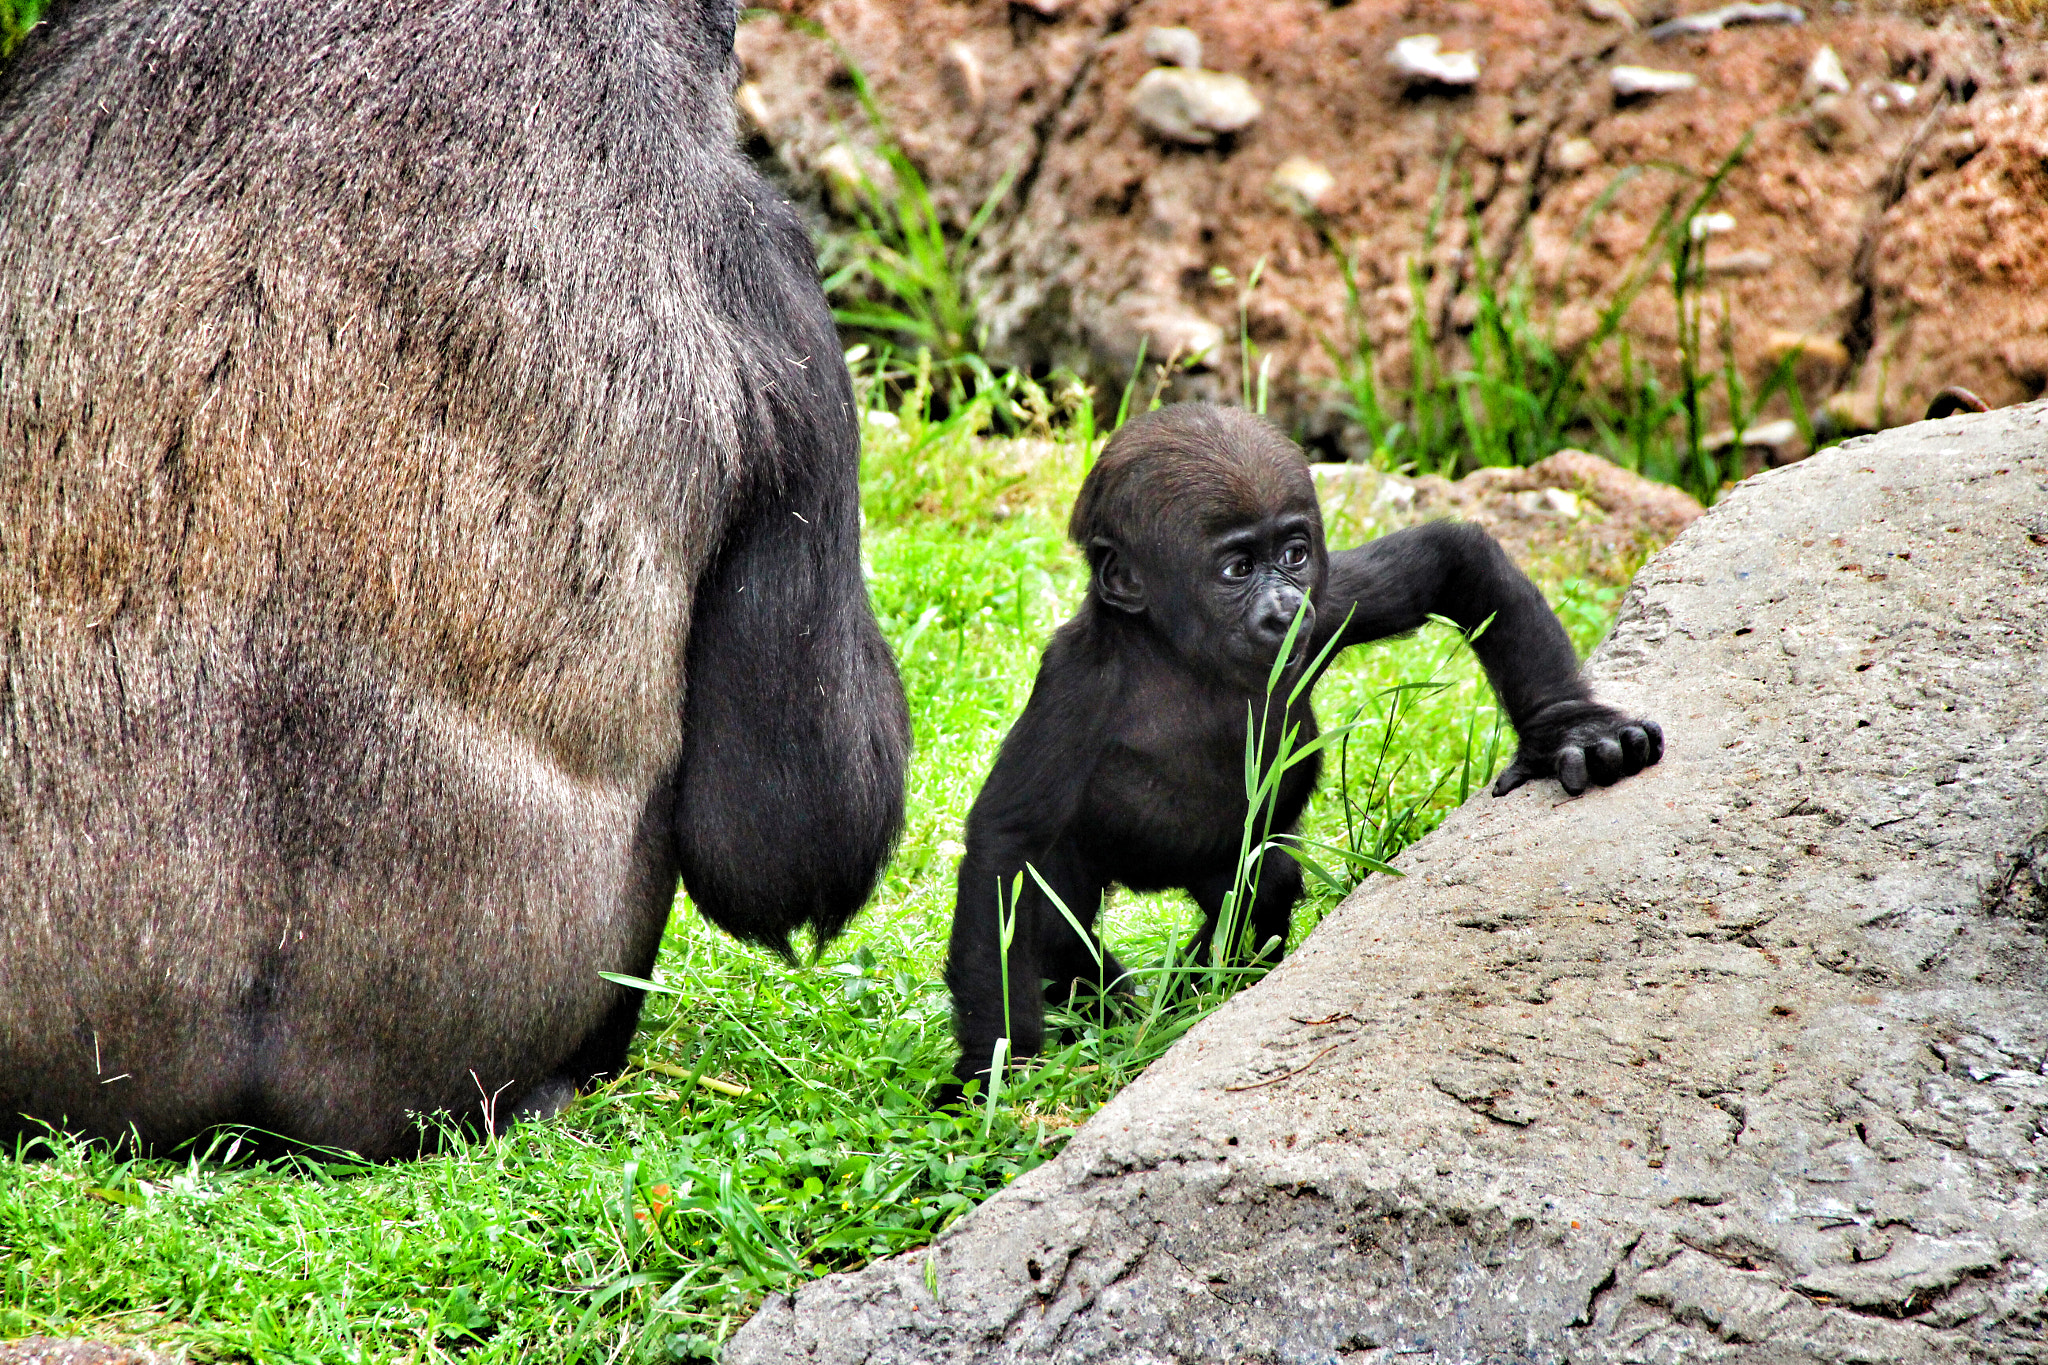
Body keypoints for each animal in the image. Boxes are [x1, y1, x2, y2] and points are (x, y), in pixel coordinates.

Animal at [943, 404, 1662, 1095]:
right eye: (1236, 569)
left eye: (1291, 553)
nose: (1284, 606)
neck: (1173, 651)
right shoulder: (1075, 683)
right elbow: (1006, 846)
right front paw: (991, 1070)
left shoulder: (1329, 600)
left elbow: (1450, 559)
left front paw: (1568, 726)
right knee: (1054, 918)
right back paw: (1122, 1011)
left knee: (1261, 880)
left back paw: (1196, 993)